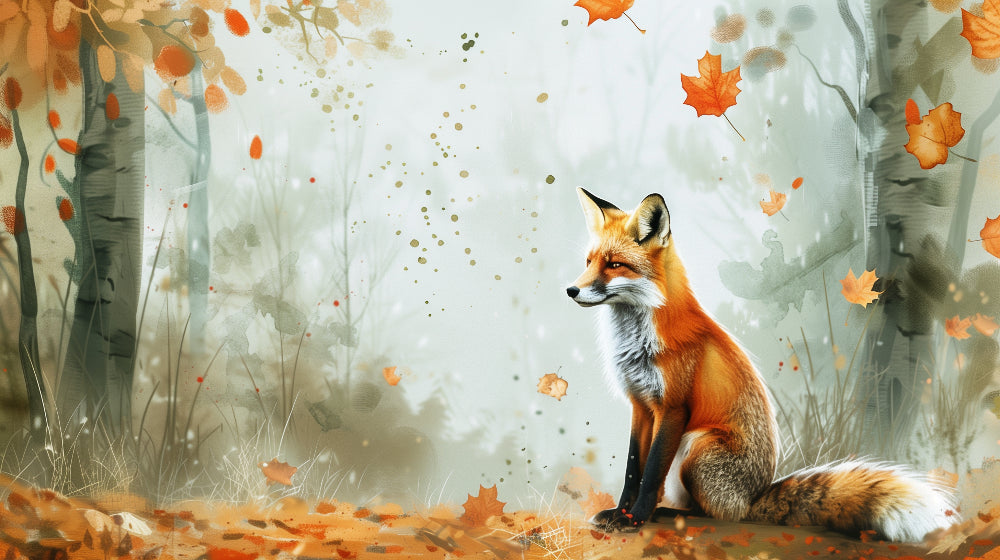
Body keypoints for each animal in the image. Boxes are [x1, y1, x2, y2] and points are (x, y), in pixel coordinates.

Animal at [566, 188, 957, 542]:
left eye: (615, 264)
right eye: (588, 262)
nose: (571, 290)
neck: (638, 341)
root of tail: (754, 497)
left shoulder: (673, 408)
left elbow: (649, 476)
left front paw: (634, 519)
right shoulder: (640, 404)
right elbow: (633, 469)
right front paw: (620, 512)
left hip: (696, 447)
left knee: (720, 514)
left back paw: (670, 514)